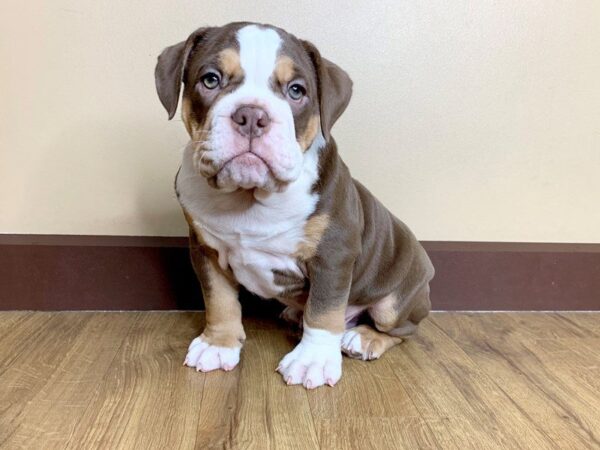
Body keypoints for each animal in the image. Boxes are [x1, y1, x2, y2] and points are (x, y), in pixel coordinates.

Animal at [155, 21, 434, 388]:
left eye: (297, 91)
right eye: (211, 80)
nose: (251, 115)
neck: (250, 196)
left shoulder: (333, 254)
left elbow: (324, 311)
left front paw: (311, 360)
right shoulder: (206, 250)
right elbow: (219, 299)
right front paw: (219, 344)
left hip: (395, 302)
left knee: (402, 329)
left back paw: (364, 337)